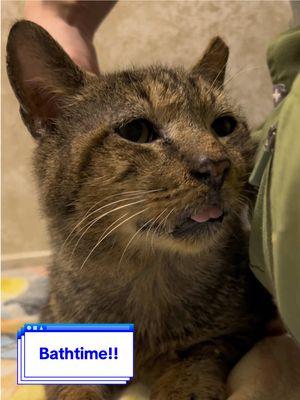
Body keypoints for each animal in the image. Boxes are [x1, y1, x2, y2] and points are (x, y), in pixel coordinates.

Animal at [6, 21, 274, 400]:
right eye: (136, 130)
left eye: (223, 126)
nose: (217, 165)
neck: (148, 273)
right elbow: (73, 388)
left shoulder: (240, 326)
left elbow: (197, 356)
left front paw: (182, 384)